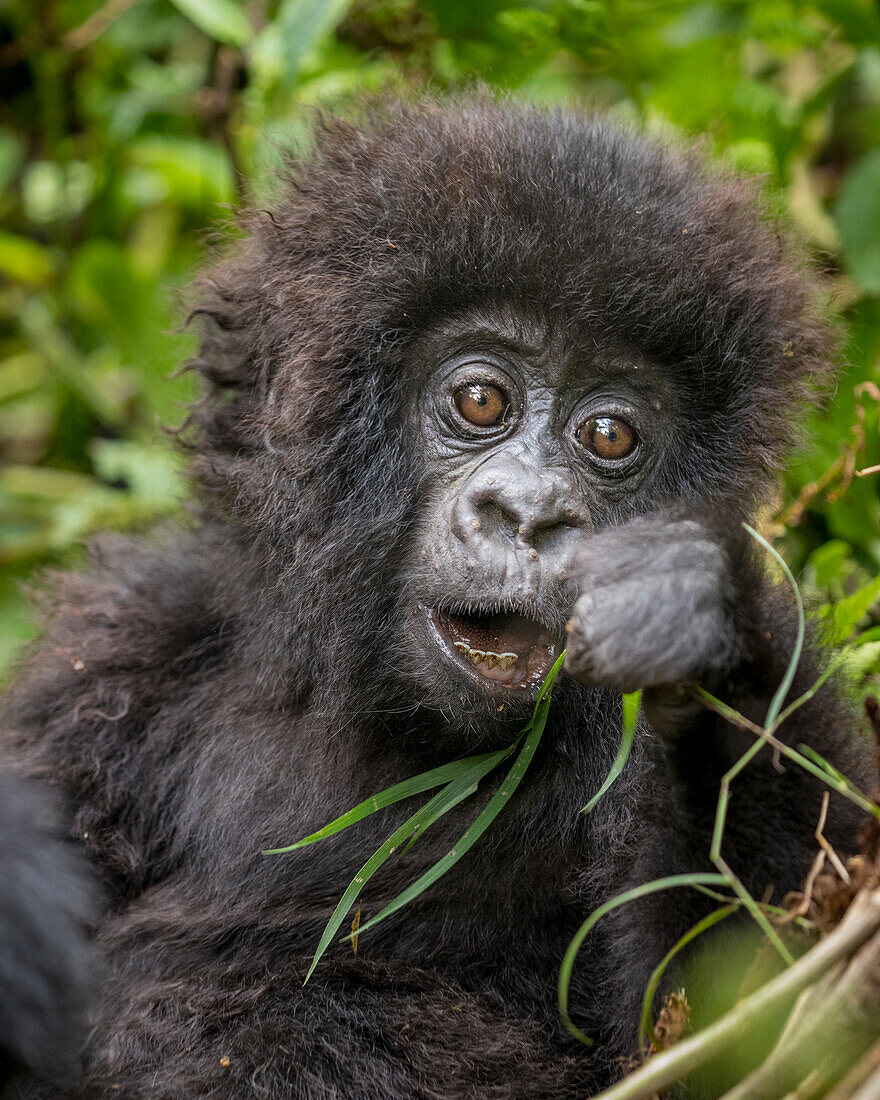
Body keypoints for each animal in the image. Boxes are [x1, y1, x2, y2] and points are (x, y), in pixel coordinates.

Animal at [0, 99, 866, 1095]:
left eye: (609, 434)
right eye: (482, 399)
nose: (529, 513)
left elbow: (743, 1021)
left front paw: (707, 628)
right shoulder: (114, 658)